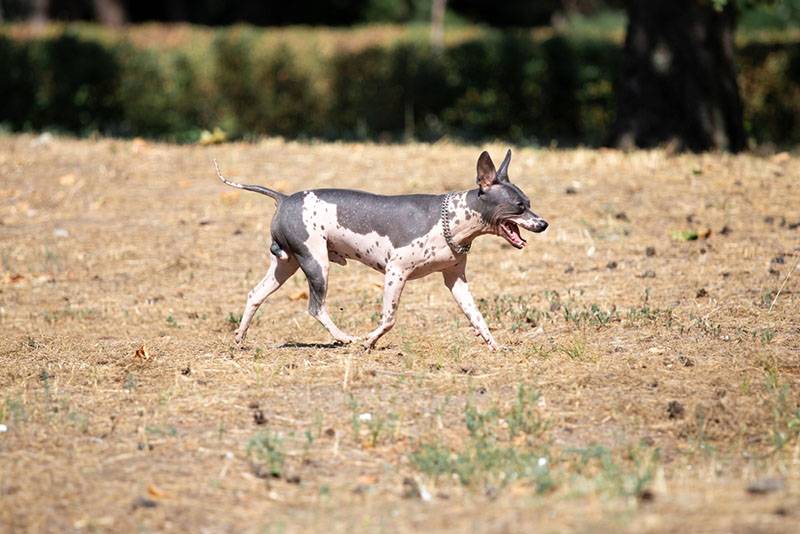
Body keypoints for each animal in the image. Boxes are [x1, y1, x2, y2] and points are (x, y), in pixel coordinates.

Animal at [216, 151, 548, 352]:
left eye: (530, 202)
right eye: (519, 207)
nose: (543, 224)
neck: (453, 220)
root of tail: (283, 198)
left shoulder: (455, 280)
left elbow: (477, 317)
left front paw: (494, 345)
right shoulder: (395, 272)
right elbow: (389, 320)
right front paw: (368, 341)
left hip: (287, 266)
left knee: (255, 295)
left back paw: (239, 339)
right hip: (316, 264)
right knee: (316, 308)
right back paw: (344, 338)